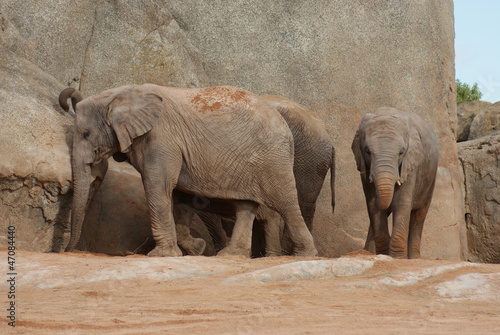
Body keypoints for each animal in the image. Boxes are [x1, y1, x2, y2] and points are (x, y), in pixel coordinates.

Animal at [58, 84, 316, 258]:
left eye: (86, 134)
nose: (66, 250)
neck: (119, 94)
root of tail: (286, 127)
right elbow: (180, 196)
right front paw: (198, 248)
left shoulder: (162, 138)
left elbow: (158, 186)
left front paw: (161, 256)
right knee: (245, 205)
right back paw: (230, 255)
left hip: (272, 159)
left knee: (285, 202)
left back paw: (304, 255)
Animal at [350, 107, 440, 260]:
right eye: (367, 151)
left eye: (401, 152)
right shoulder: (365, 169)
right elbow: (373, 205)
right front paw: (383, 254)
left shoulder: (411, 165)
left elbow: (402, 204)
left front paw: (397, 258)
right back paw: (367, 253)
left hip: (430, 180)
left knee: (419, 216)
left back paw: (414, 258)